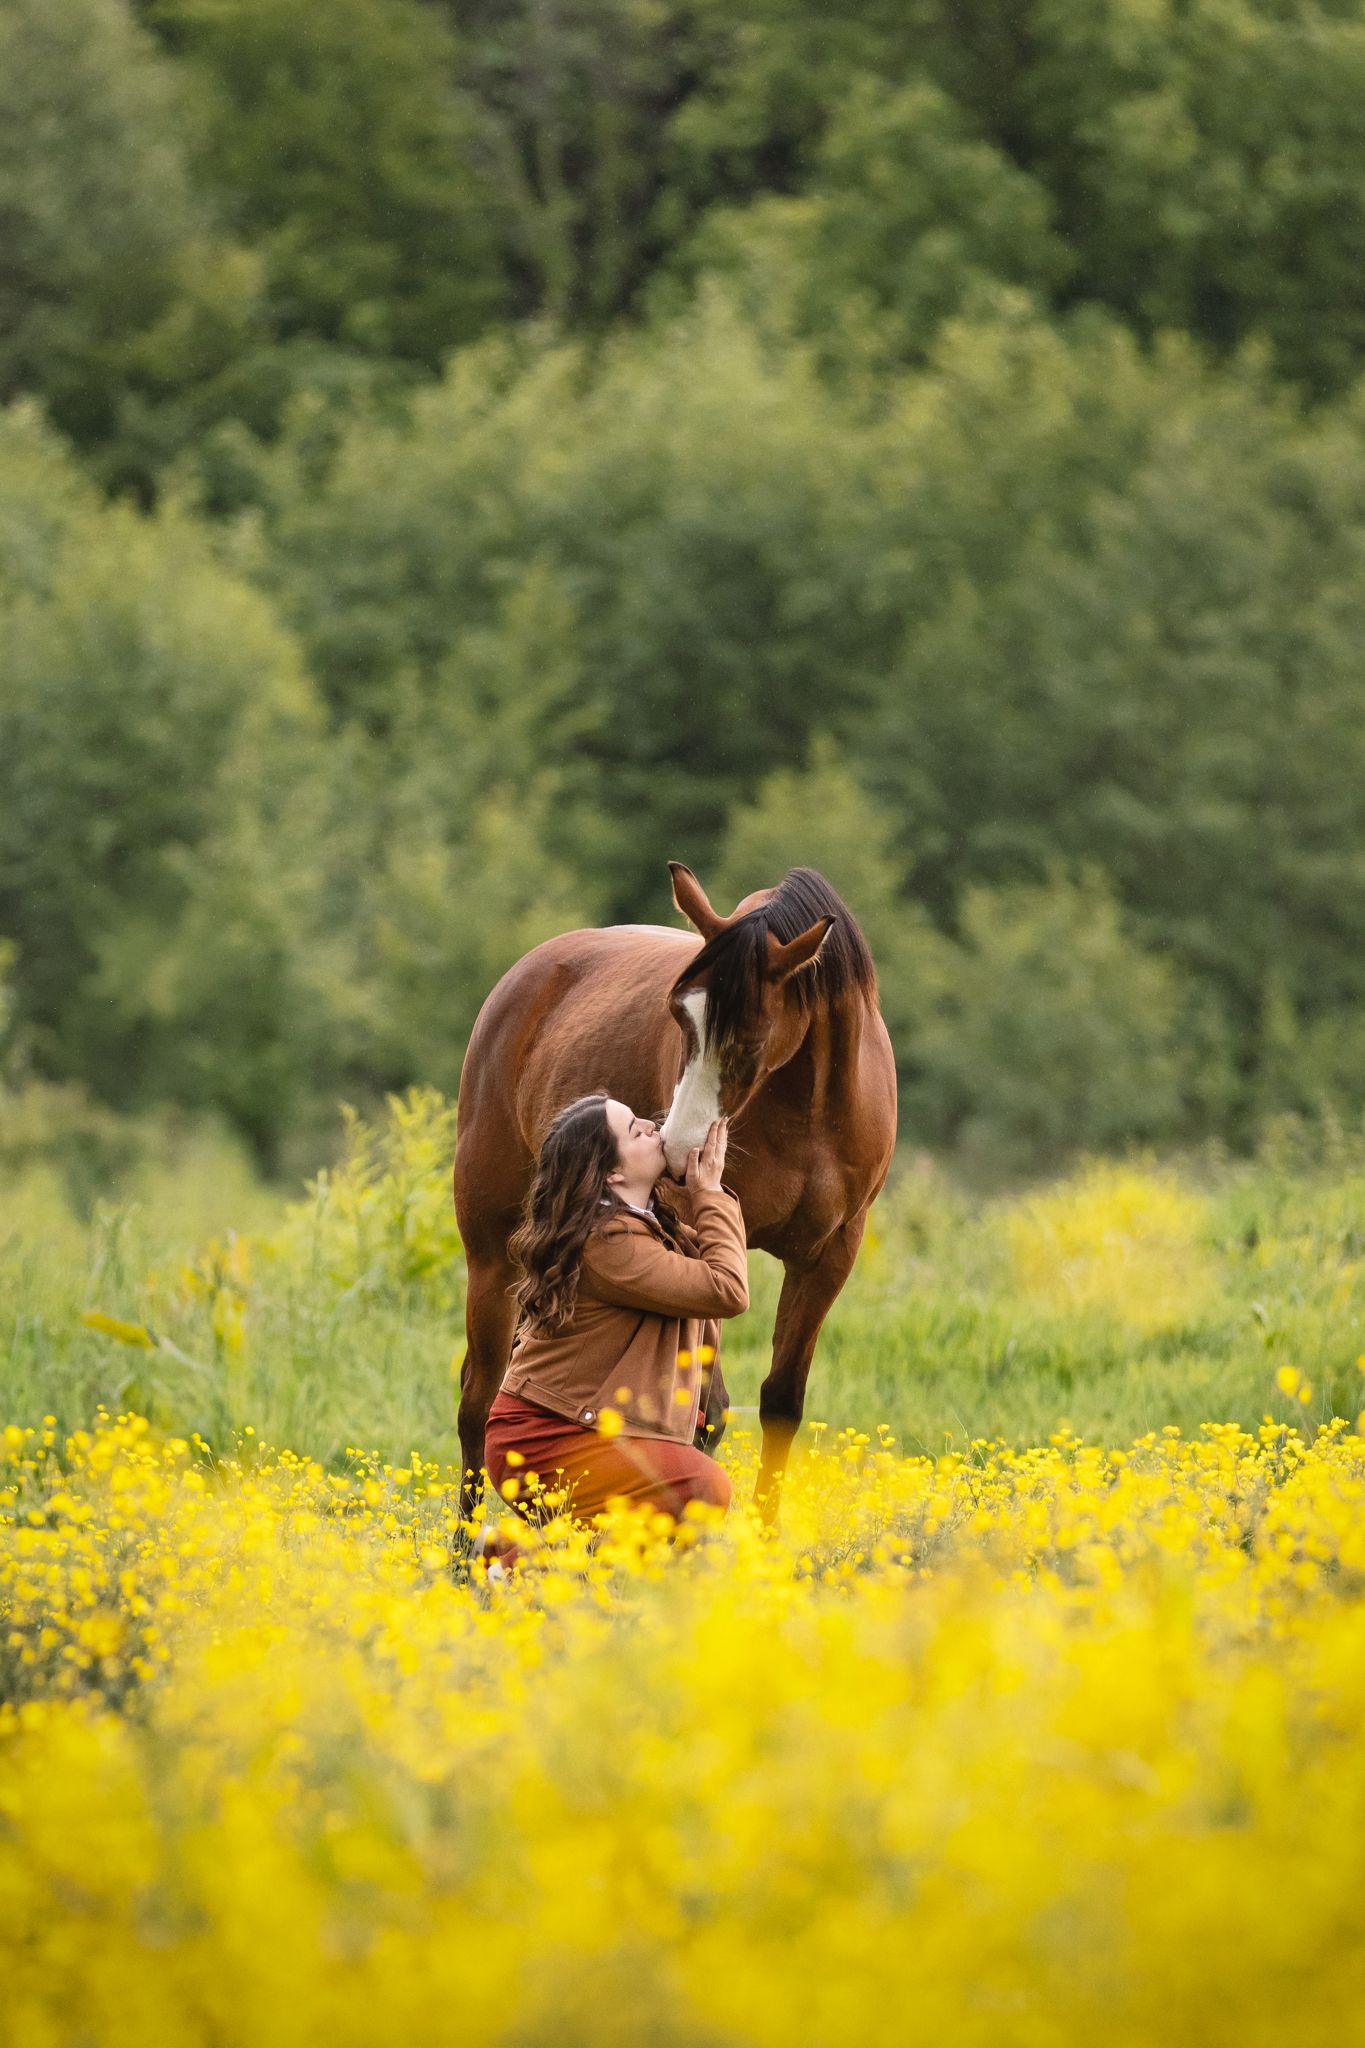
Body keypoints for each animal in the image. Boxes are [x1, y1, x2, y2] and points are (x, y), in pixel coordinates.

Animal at [452, 863, 898, 1518]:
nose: (680, 1147)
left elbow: (780, 1403)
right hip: (491, 1254)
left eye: (752, 1038)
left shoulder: (829, 1257)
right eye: (678, 1015)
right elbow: (700, 1415)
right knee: (480, 1397)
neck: (811, 1106)